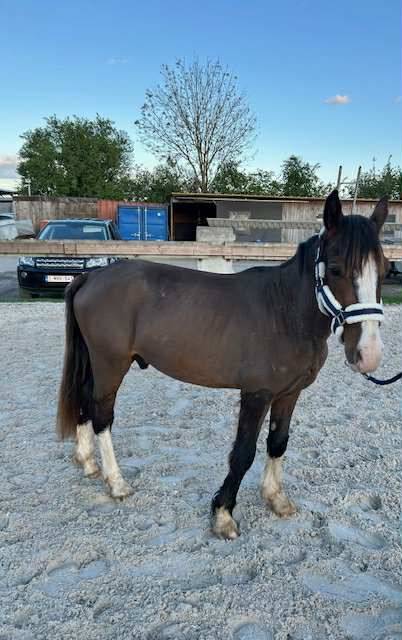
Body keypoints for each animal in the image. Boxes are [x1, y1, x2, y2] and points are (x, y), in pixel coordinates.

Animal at [57, 190, 389, 539]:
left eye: (384, 270)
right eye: (336, 269)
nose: (369, 354)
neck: (284, 312)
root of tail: (92, 276)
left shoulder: (289, 393)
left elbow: (278, 442)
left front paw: (276, 498)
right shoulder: (256, 394)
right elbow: (243, 453)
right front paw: (223, 514)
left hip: (95, 362)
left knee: (84, 399)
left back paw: (88, 462)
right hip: (111, 364)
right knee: (102, 415)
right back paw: (117, 483)